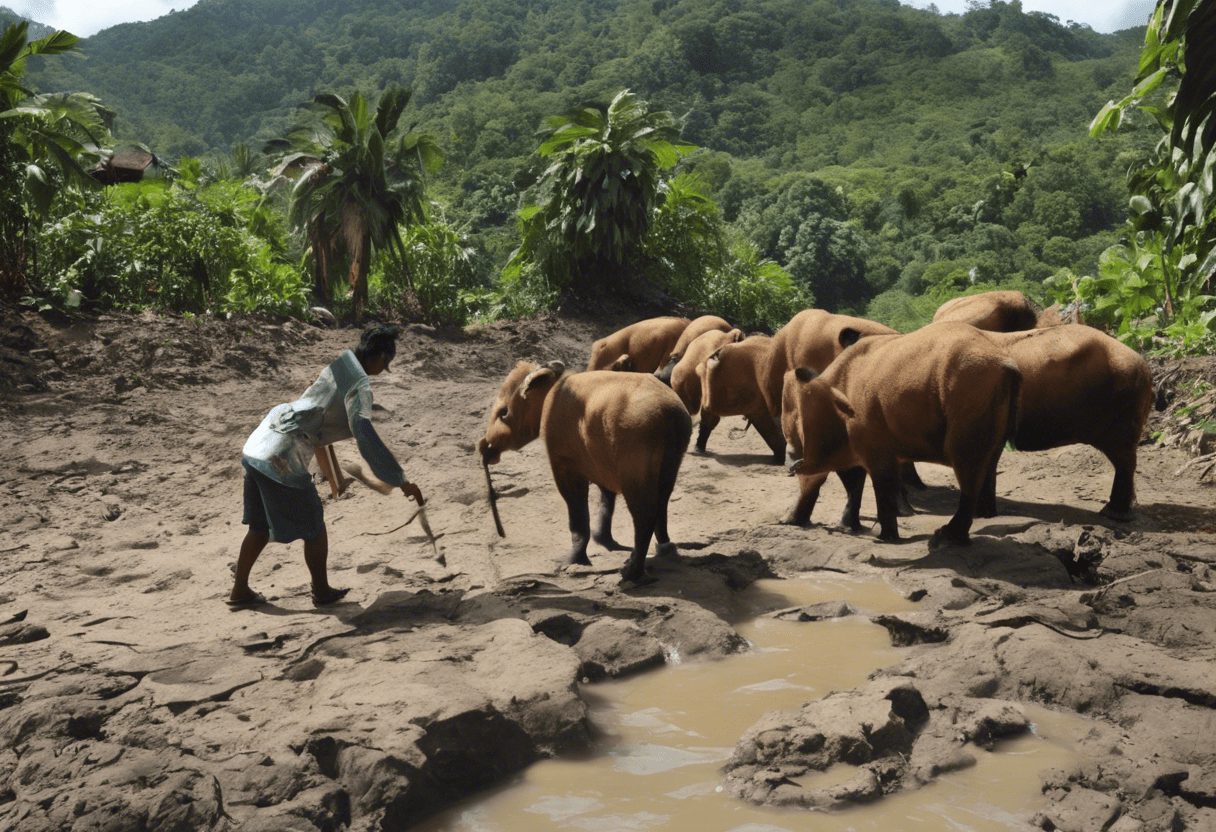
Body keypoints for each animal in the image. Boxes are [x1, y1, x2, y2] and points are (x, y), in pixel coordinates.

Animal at [481, 360, 695, 581]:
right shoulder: (597, 449)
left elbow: (572, 494)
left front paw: (569, 562)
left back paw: (629, 573)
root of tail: (671, 415)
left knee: (644, 509)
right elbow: (606, 491)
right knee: (663, 496)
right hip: (673, 448)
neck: (555, 377)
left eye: (503, 413)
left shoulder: (562, 450)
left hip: (636, 444)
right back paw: (665, 550)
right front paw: (603, 541)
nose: (485, 449)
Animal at [778, 321, 1016, 542]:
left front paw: (884, 537)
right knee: (988, 455)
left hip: (968, 380)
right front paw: (849, 528)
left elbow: (876, 480)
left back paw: (946, 538)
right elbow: (854, 477)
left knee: (963, 453)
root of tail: (1006, 363)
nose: (791, 464)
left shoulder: (866, 437)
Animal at [972, 325, 1152, 520]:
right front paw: (985, 514)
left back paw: (1114, 513)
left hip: (1123, 407)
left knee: (1123, 457)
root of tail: (1145, 365)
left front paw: (980, 515)